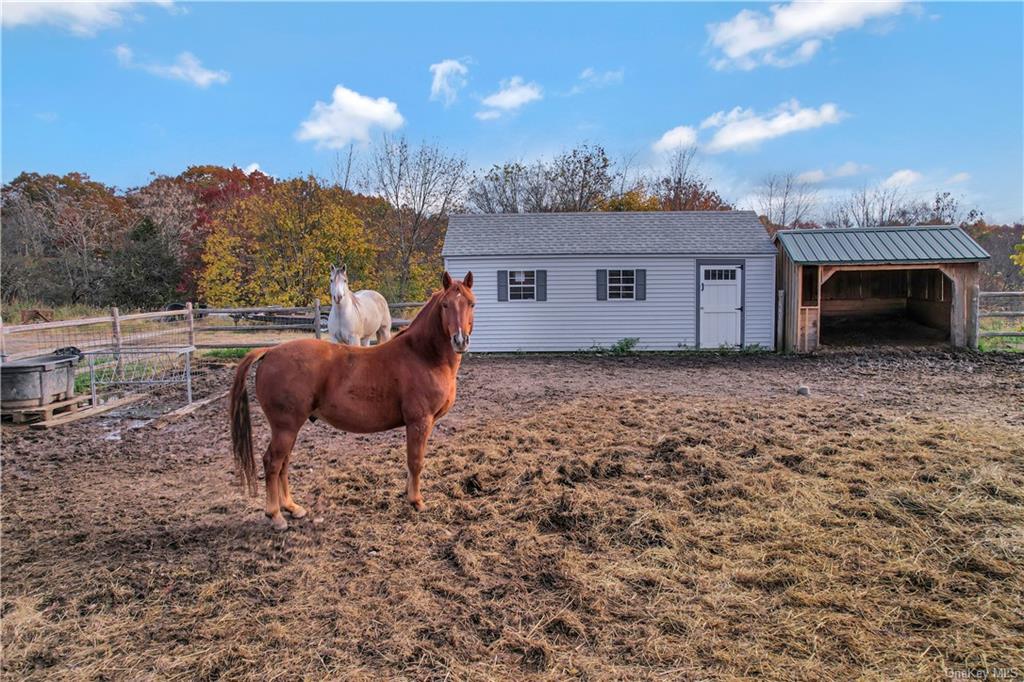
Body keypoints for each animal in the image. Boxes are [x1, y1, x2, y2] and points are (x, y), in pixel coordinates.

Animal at [228, 270, 475, 524]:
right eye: (445, 305)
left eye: (471, 303)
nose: (460, 340)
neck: (422, 354)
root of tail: (269, 352)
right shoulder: (419, 422)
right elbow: (415, 462)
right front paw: (417, 502)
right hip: (285, 427)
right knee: (273, 462)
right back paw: (275, 515)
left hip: (289, 428)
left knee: (283, 463)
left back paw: (292, 507)